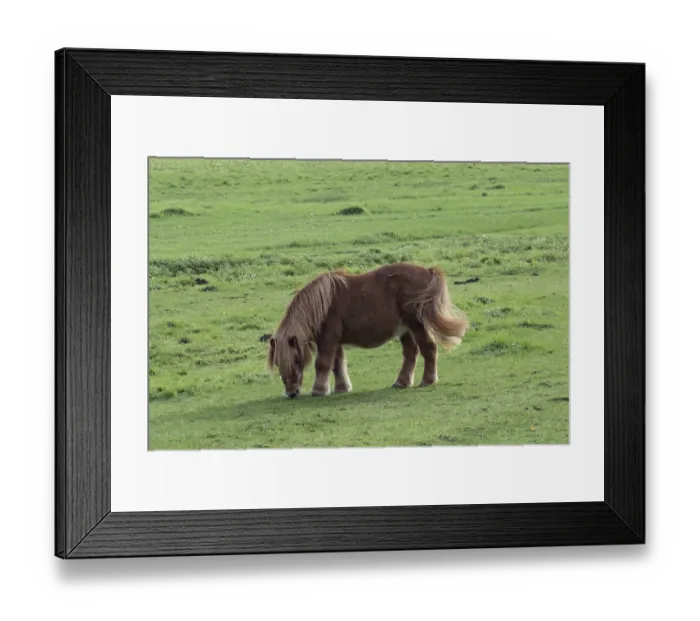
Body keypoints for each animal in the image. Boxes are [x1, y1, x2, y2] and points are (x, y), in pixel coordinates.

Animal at [266, 262, 469, 399]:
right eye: (277, 363)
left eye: (296, 360)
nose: (291, 393)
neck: (322, 304)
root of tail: (428, 271)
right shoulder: (336, 341)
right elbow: (338, 365)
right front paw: (342, 388)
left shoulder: (328, 340)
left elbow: (323, 363)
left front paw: (319, 390)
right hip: (405, 330)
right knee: (411, 354)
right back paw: (401, 382)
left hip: (416, 325)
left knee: (429, 349)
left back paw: (428, 380)